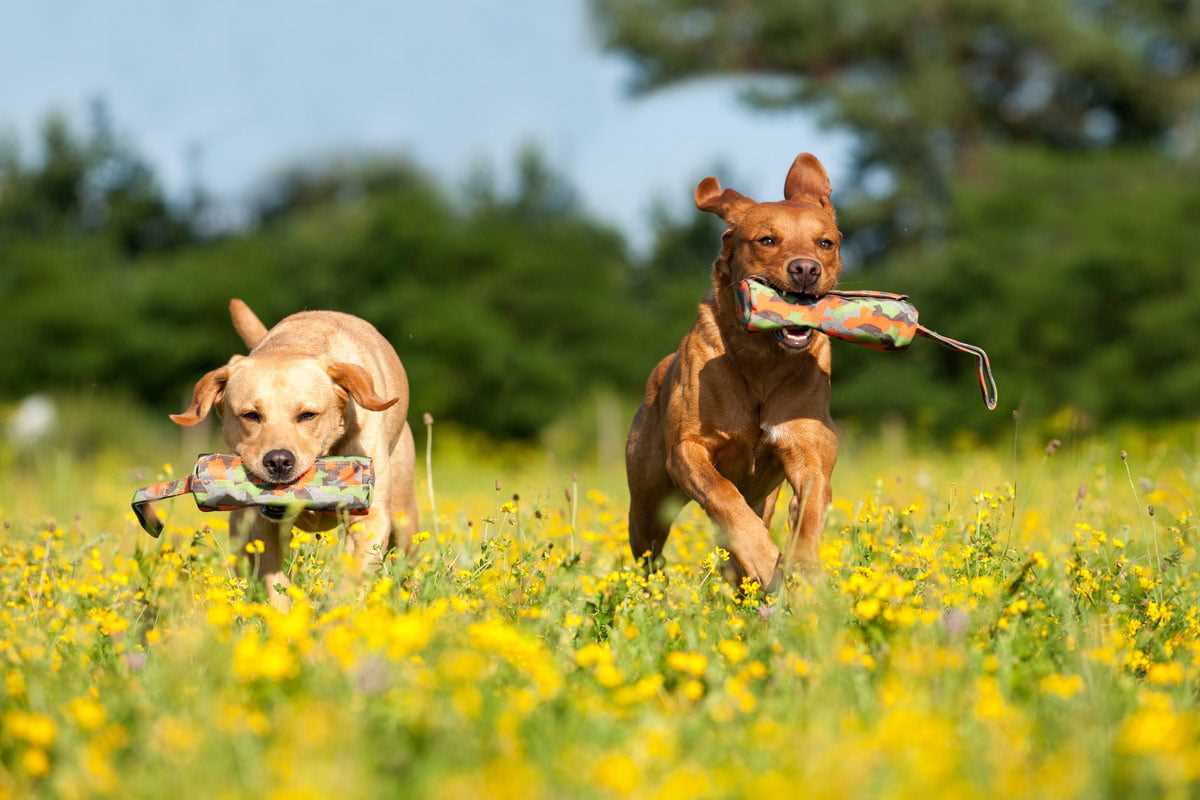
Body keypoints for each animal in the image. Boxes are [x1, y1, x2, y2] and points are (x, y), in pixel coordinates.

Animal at [171, 299, 417, 599]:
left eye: (308, 415)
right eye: (251, 415)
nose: (278, 461)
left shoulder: (370, 519)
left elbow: (351, 578)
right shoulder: (260, 526)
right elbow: (274, 584)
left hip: (404, 515)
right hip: (239, 528)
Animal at [628, 153, 844, 592]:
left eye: (825, 243)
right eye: (767, 240)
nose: (805, 269)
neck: (764, 359)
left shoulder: (809, 453)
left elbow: (810, 510)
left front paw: (800, 571)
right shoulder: (687, 449)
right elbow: (723, 495)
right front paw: (763, 558)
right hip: (646, 504)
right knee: (649, 551)